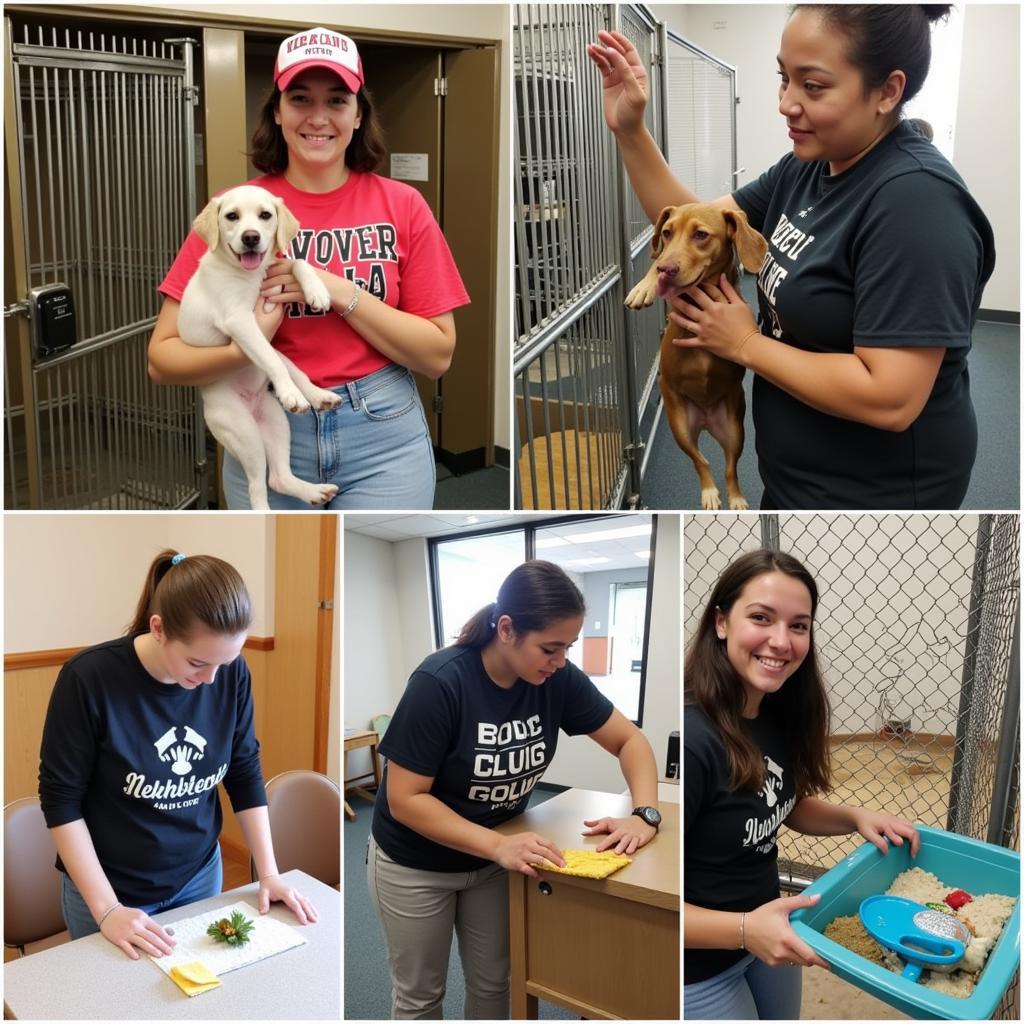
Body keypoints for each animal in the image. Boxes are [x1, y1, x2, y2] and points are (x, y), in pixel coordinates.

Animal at [182, 185, 342, 512]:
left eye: (265, 215)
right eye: (232, 216)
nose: (251, 237)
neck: (251, 275)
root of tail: (252, 405)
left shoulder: (277, 269)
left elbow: (297, 261)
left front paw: (317, 290)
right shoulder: (240, 320)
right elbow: (269, 359)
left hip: (275, 421)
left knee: (279, 476)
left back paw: (317, 398)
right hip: (244, 432)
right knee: (258, 487)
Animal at [622, 201, 770, 509]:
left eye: (701, 235)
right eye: (667, 233)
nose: (665, 269)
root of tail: (704, 419)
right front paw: (644, 286)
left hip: (735, 431)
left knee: (729, 467)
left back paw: (735, 497)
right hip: (679, 426)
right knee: (700, 461)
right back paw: (709, 492)